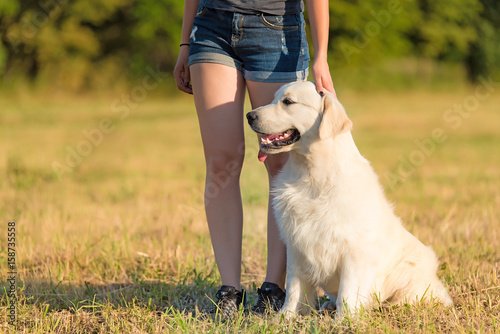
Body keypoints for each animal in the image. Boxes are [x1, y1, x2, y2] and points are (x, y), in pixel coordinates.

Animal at [246, 81, 454, 318]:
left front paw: (344, 319)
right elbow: (294, 287)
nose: (249, 115)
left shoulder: (354, 249)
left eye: (288, 101)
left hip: (410, 271)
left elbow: (348, 289)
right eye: (274, 99)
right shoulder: (296, 243)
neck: (312, 175)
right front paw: (286, 316)